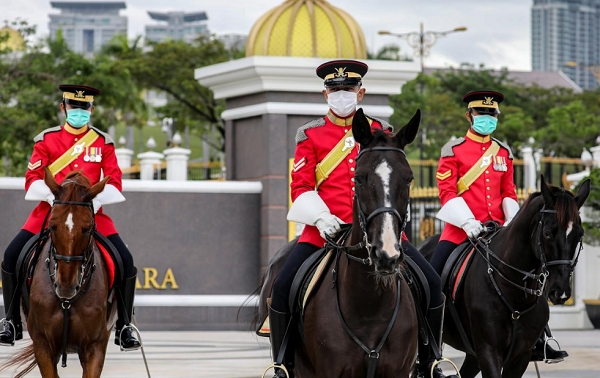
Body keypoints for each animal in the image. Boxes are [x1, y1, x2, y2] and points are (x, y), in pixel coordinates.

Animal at [258, 108, 422, 378]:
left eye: (408, 179)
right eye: (360, 178)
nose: (386, 255)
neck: (369, 306)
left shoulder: (397, 372)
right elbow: (301, 185)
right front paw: (328, 223)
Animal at [418, 177, 592, 378]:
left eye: (579, 235)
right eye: (548, 234)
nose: (560, 292)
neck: (514, 294)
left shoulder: (521, 355)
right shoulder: (488, 351)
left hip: (473, 355)